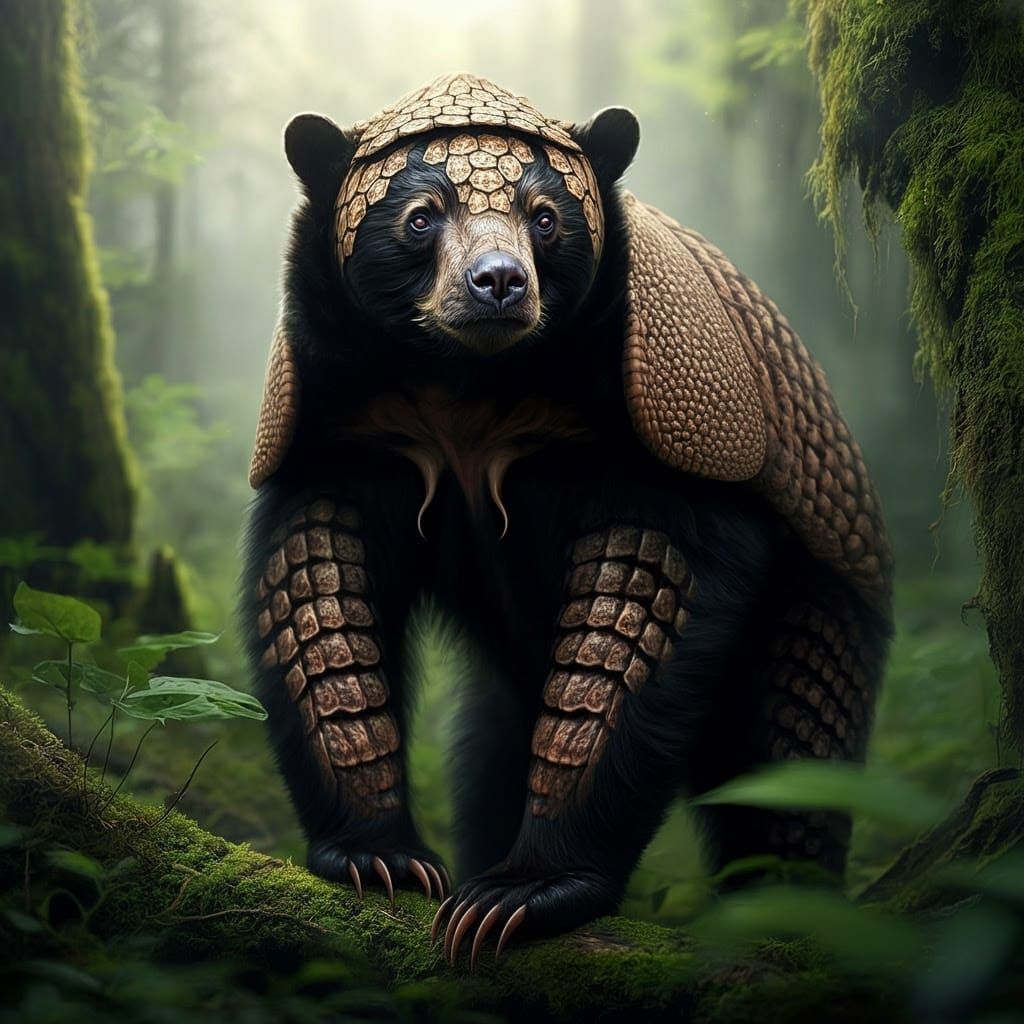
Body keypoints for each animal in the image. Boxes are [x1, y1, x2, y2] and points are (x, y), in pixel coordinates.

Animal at [243, 73, 892, 965]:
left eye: (547, 217)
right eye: (420, 217)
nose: (499, 283)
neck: (470, 384)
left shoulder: (681, 438)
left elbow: (629, 634)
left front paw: (522, 894)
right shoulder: (335, 436)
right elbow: (318, 607)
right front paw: (382, 860)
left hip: (827, 582)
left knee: (795, 751)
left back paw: (791, 926)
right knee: (495, 747)